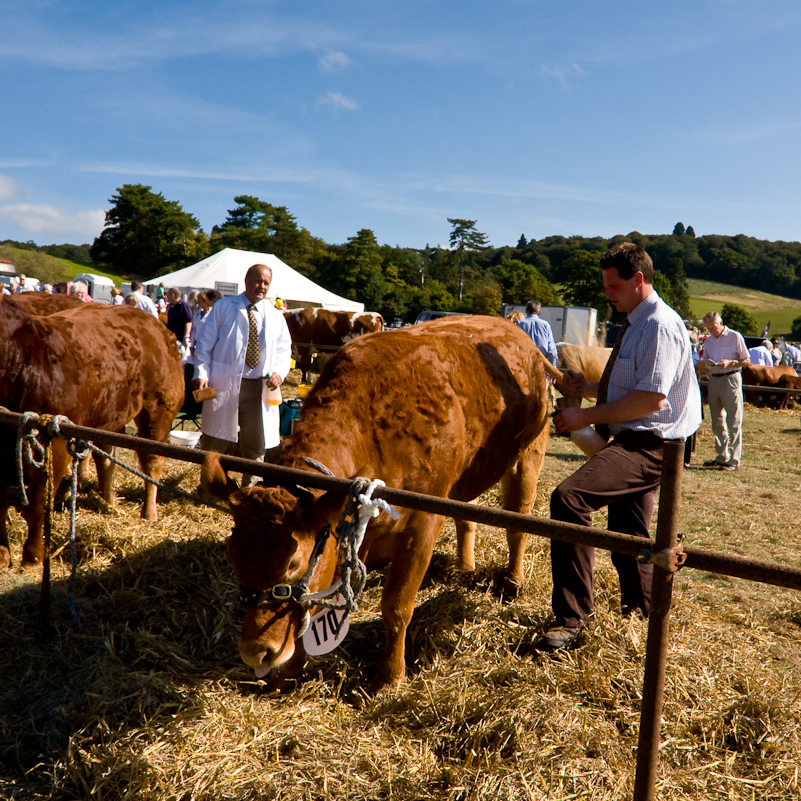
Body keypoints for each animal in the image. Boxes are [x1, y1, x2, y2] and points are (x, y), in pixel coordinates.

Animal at [0, 296, 183, 564]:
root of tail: (156, 322)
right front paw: (3, 553)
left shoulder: (54, 443)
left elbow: (36, 506)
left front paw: (33, 557)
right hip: (111, 415)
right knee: (106, 458)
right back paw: (108, 502)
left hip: (159, 408)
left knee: (152, 461)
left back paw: (149, 512)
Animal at [203, 316, 560, 692]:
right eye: (233, 559)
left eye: (293, 562)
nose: (255, 652)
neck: (374, 425)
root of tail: (519, 334)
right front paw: (290, 674)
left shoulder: (422, 523)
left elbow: (397, 606)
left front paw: (391, 677)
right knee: (467, 518)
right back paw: (465, 566)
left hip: (528, 455)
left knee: (517, 523)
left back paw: (512, 582)